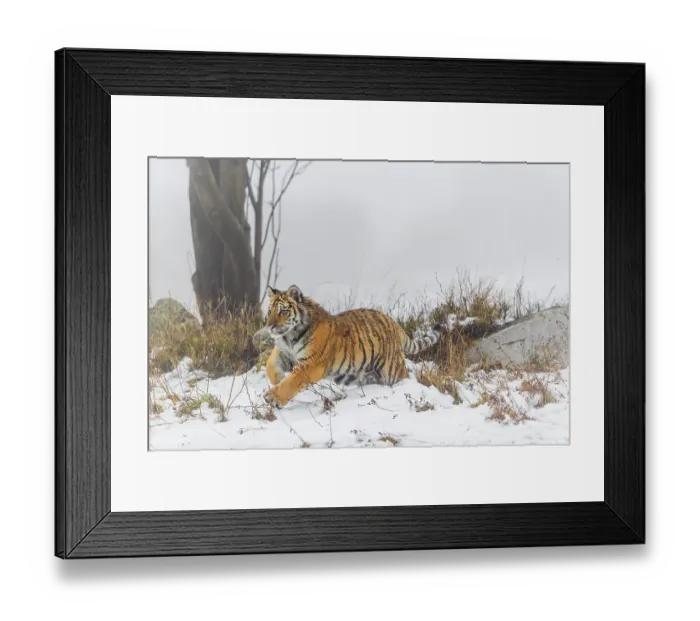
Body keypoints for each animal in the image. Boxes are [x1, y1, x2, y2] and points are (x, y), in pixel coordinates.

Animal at [261, 284, 456, 409]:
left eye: (283, 311)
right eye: (270, 311)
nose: (270, 326)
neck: (289, 337)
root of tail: (392, 321)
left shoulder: (311, 364)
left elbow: (293, 381)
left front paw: (273, 397)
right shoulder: (285, 353)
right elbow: (270, 365)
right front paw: (277, 379)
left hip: (391, 369)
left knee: (405, 377)